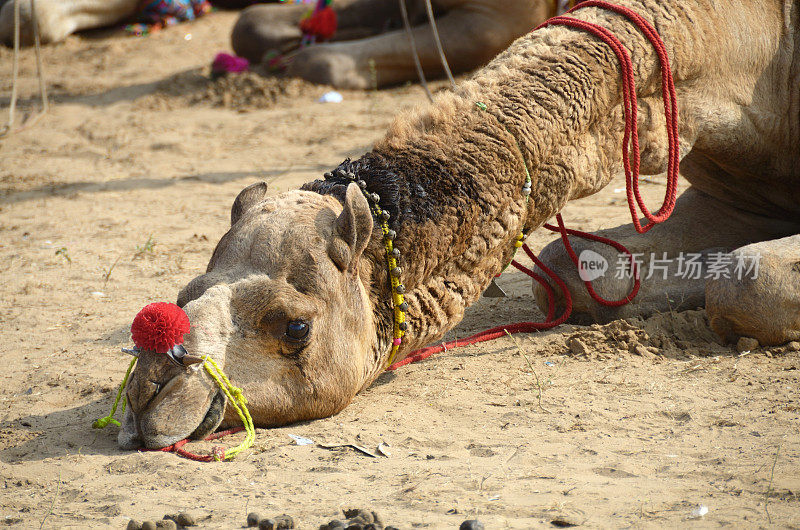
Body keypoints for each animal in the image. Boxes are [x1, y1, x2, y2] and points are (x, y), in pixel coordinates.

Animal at [119, 0, 800, 450]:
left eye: (295, 327)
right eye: (184, 292)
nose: (154, 387)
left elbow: (747, 276)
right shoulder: (734, 199)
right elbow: (572, 268)